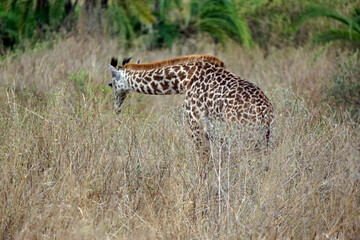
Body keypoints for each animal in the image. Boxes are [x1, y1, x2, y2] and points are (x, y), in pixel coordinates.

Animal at [108, 54, 274, 152]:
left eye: (111, 84)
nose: (116, 109)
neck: (184, 79)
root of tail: (264, 112)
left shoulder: (195, 121)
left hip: (241, 136)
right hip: (268, 138)